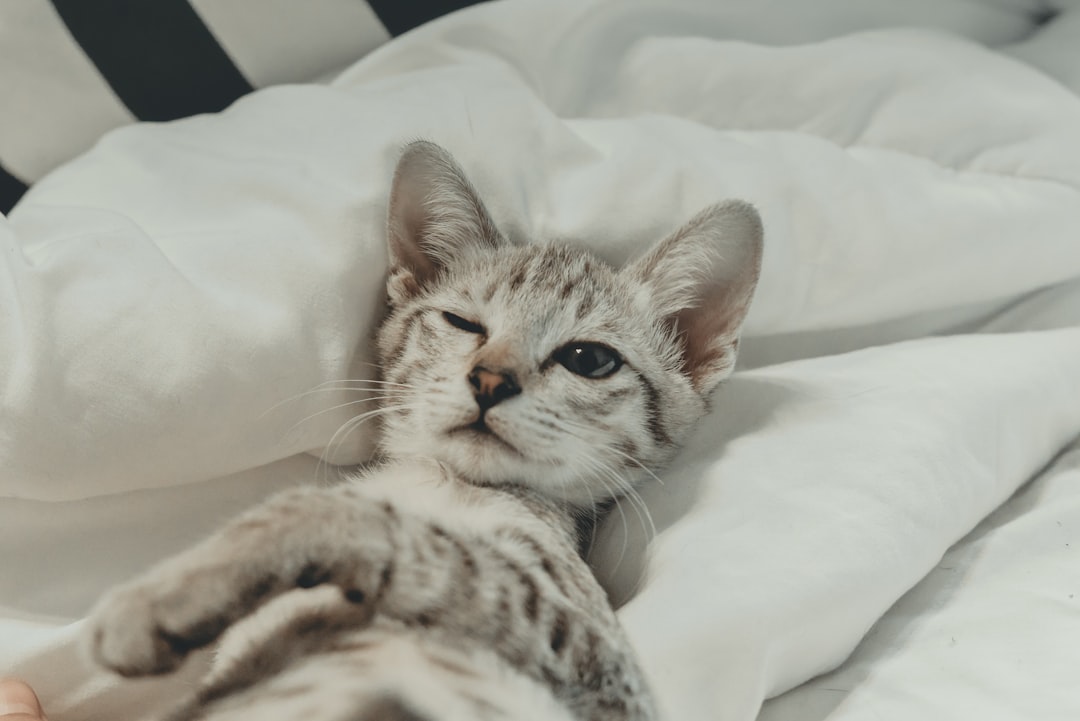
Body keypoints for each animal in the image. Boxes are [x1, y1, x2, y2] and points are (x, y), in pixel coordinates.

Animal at [84, 142, 764, 721]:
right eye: (463, 323)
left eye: (589, 359)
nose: (489, 379)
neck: (443, 483)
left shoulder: (607, 676)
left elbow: (383, 528)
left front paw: (168, 593)